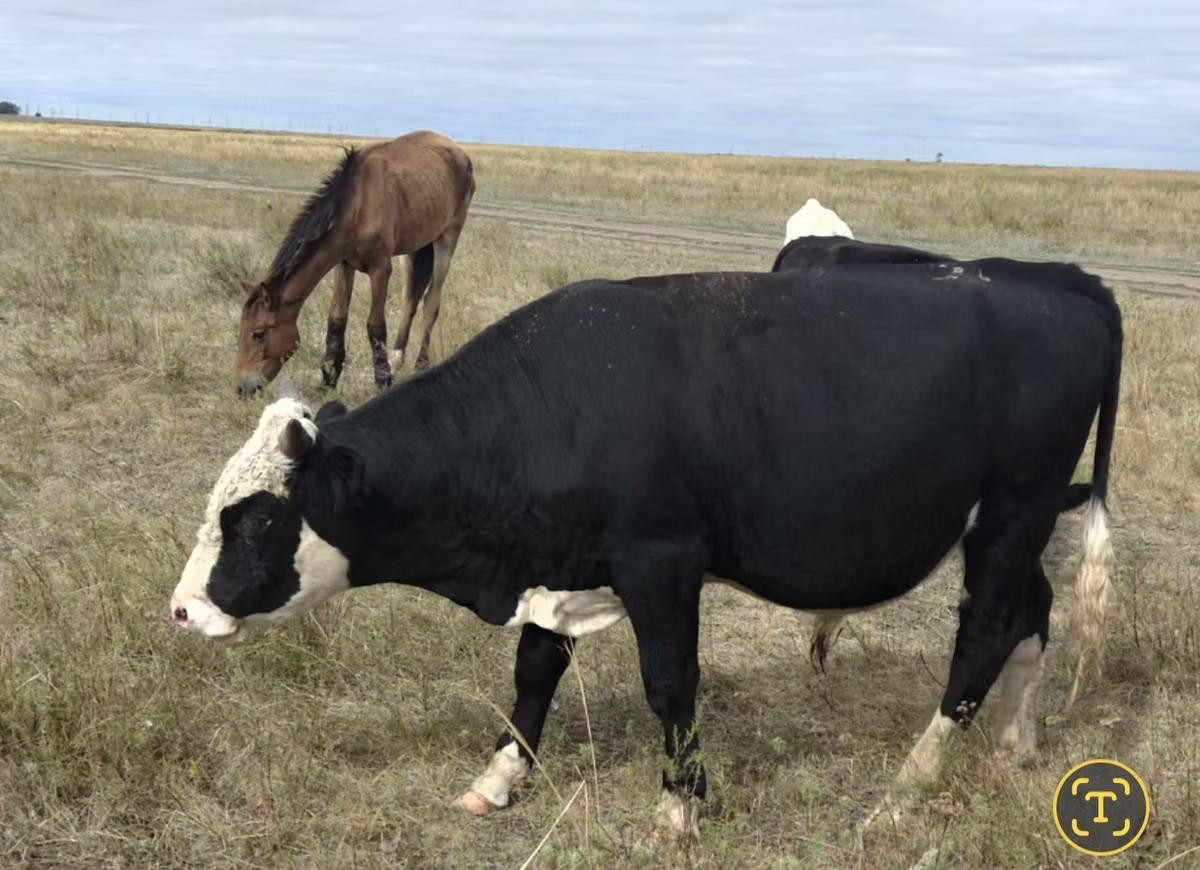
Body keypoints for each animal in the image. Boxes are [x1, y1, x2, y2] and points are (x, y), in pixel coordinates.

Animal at [170, 260, 1122, 843]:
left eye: (252, 521)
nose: (181, 610)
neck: (554, 401)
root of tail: (1061, 279)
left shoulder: (662, 564)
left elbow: (670, 686)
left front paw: (677, 811)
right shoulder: (555, 563)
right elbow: (534, 670)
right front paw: (500, 777)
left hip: (1010, 514)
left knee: (985, 634)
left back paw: (905, 789)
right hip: (1023, 525)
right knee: (1031, 617)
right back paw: (1018, 743)